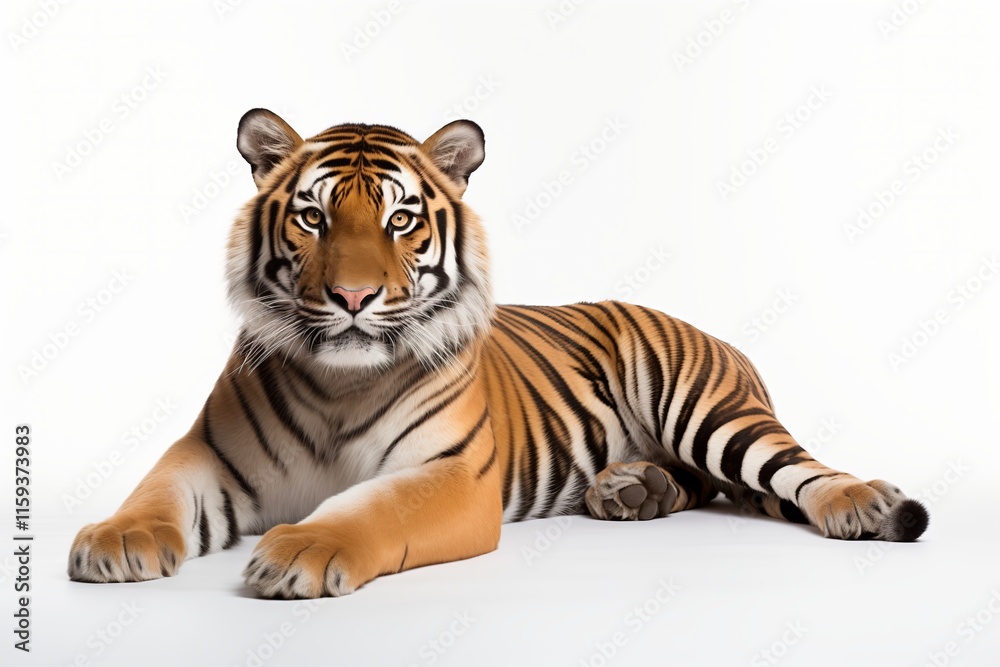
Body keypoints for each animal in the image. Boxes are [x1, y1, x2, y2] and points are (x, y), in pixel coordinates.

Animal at [68, 109, 929, 598]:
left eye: (401, 219)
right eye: (313, 217)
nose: (353, 297)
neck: (341, 382)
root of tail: (709, 330)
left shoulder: (453, 474)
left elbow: (368, 506)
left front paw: (304, 546)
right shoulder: (205, 452)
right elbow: (153, 492)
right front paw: (115, 541)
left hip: (709, 409)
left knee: (795, 466)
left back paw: (862, 503)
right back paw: (632, 489)